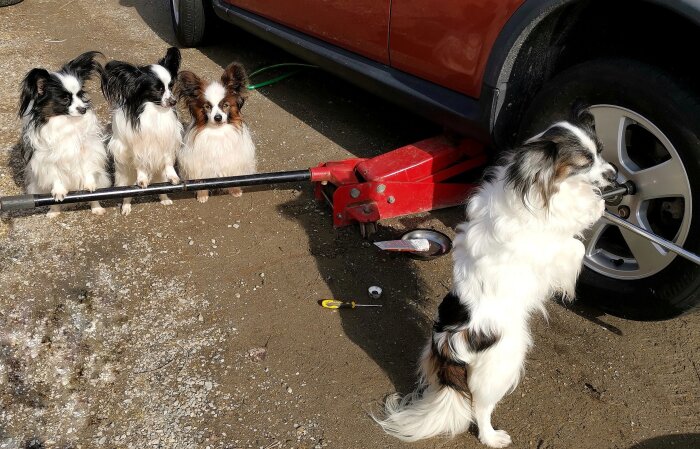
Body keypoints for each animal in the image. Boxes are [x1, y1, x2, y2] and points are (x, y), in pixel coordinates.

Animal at [18, 50, 109, 217]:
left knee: (94, 197)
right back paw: (53, 211)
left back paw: (97, 208)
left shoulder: (87, 149)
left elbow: (88, 168)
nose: (83, 109)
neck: (66, 121)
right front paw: (59, 191)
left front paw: (89, 184)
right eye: (65, 99)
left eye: (80, 95)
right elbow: (55, 176)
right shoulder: (47, 157)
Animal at [102, 47, 183, 215]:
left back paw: (164, 198)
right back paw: (126, 206)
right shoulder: (136, 146)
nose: (173, 101)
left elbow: (168, 161)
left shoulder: (167, 140)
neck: (154, 111)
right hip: (125, 176)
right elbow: (140, 162)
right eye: (158, 89)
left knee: (161, 186)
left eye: (171, 86)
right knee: (128, 192)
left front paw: (173, 175)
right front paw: (142, 178)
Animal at [176, 62, 256, 202]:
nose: (218, 118)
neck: (218, 131)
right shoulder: (199, 163)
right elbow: (202, 178)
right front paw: (202, 194)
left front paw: (235, 190)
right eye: (207, 106)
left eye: (225, 105)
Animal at [374, 107, 616, 446]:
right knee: (480, 407)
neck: (533, 185)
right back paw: (491, 437)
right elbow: (577, 245)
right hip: (504, 363)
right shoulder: (554, 242)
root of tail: (450, 341)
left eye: (601, 151)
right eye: (585, 162)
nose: (614, 175)